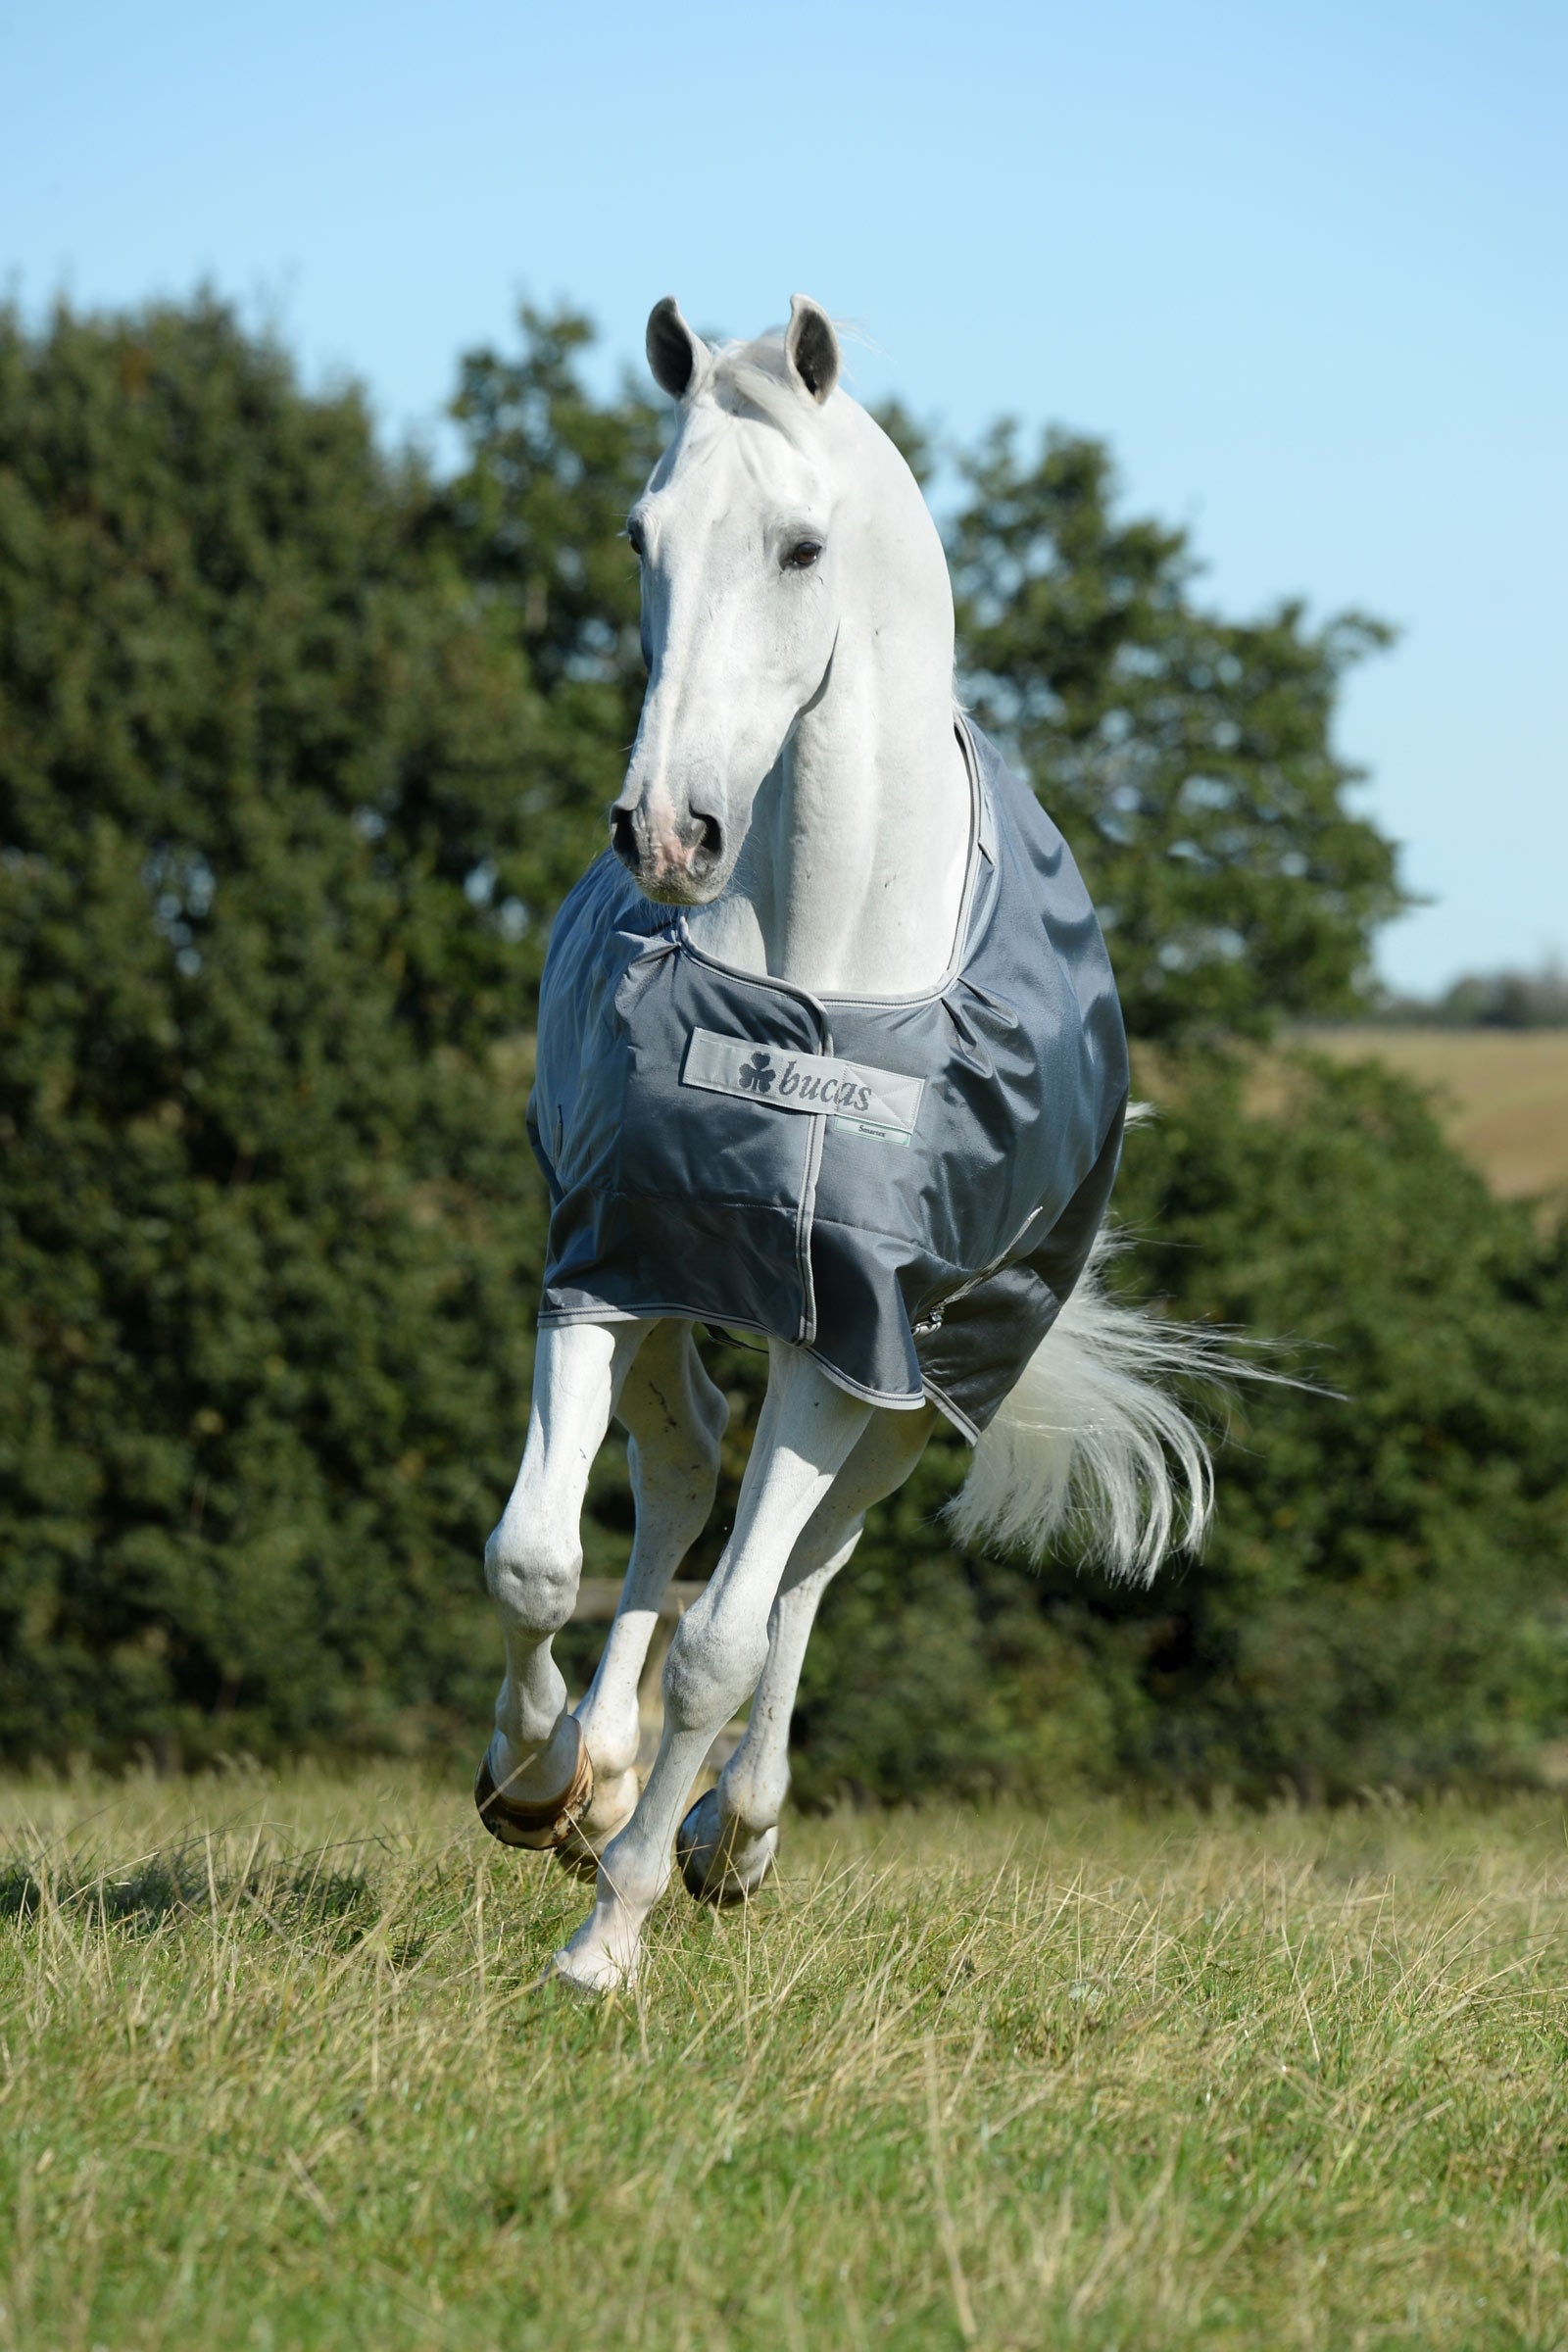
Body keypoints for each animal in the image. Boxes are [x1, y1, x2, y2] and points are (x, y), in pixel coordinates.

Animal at [475, 295, 1215, 1994]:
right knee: (686, 1476)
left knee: (810, 1557)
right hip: (686, 1296)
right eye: (642, 533)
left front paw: (614, 1933)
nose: (666, 833)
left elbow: (731, 1640)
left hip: (922, 1380)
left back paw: (727, 1834)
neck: (812, 984)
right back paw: (596, 1778)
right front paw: (539, 1784)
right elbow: (536, 1553)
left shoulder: (848, 1327)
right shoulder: (607, 1260)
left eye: (801, 546)